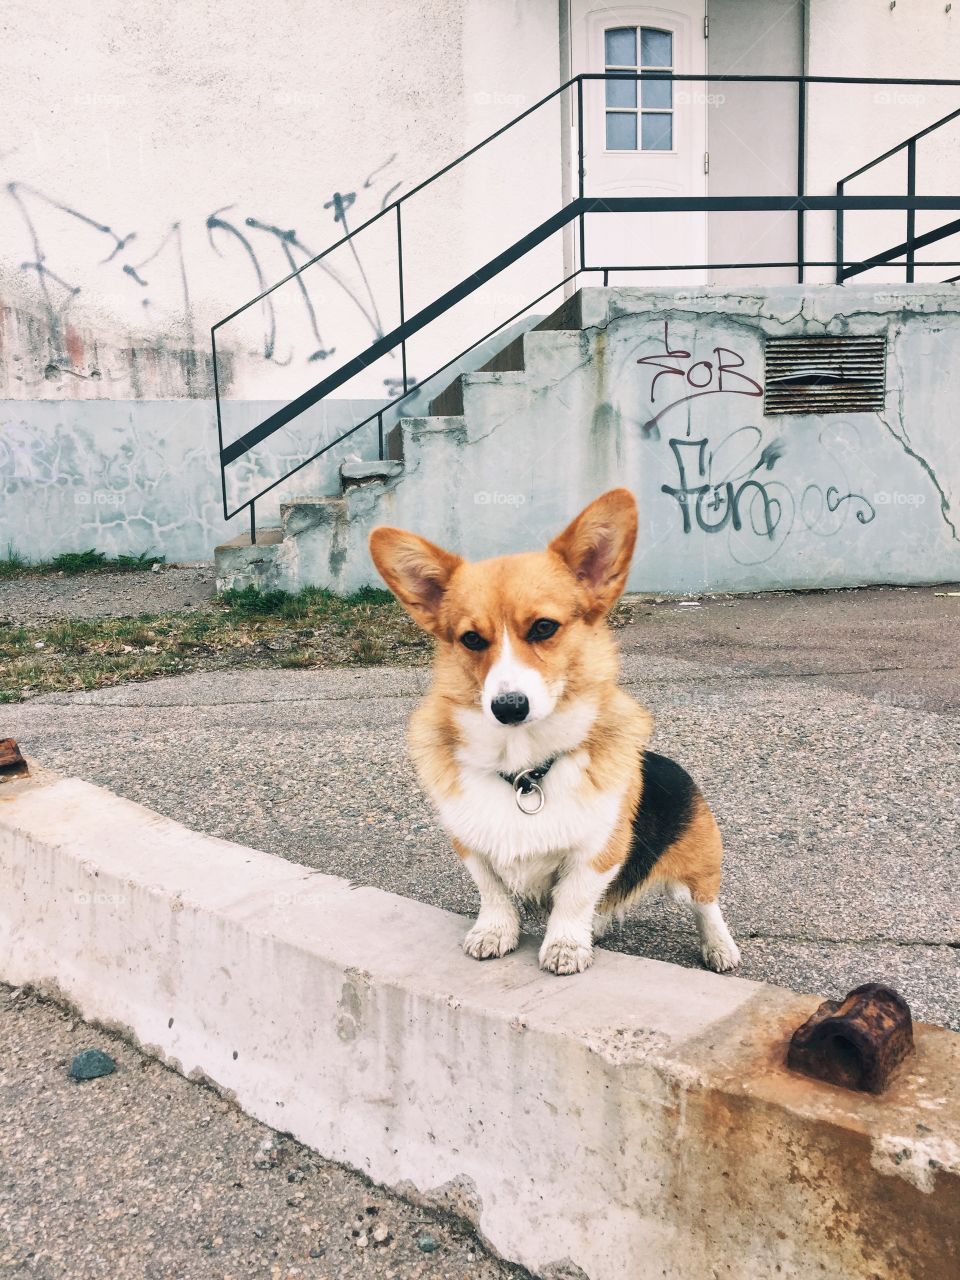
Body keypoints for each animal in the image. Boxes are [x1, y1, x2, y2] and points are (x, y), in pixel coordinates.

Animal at [368, 488, 742, 977]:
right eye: (471, 639)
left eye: (544, 627)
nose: (508, 707)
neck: (524, 770)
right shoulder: (471, 845)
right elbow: (493, 893)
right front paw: (494, 932)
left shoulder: (597, 852)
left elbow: (573, 899)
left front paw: (565, 945)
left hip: (699, 858)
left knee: (705, 903)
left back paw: (719, 946)